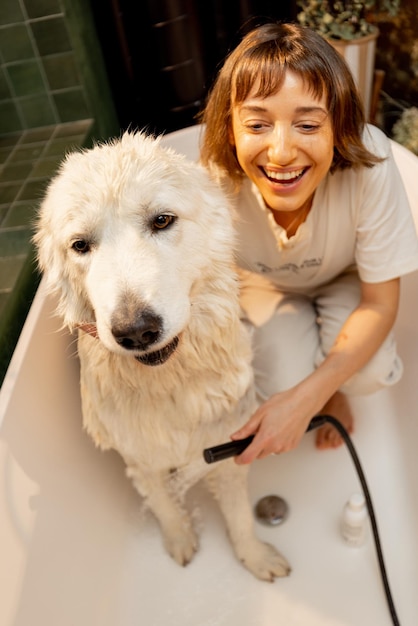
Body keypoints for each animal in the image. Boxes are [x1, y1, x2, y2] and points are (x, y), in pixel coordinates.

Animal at [34, 132, 290, 580]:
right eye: (80, 245)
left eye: (161, 220)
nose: (135, 330)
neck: (170, 383)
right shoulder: (139, 458)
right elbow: (163, 505)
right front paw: (180, 540)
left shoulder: (225, 446)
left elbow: (240, 515)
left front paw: (255, 556)